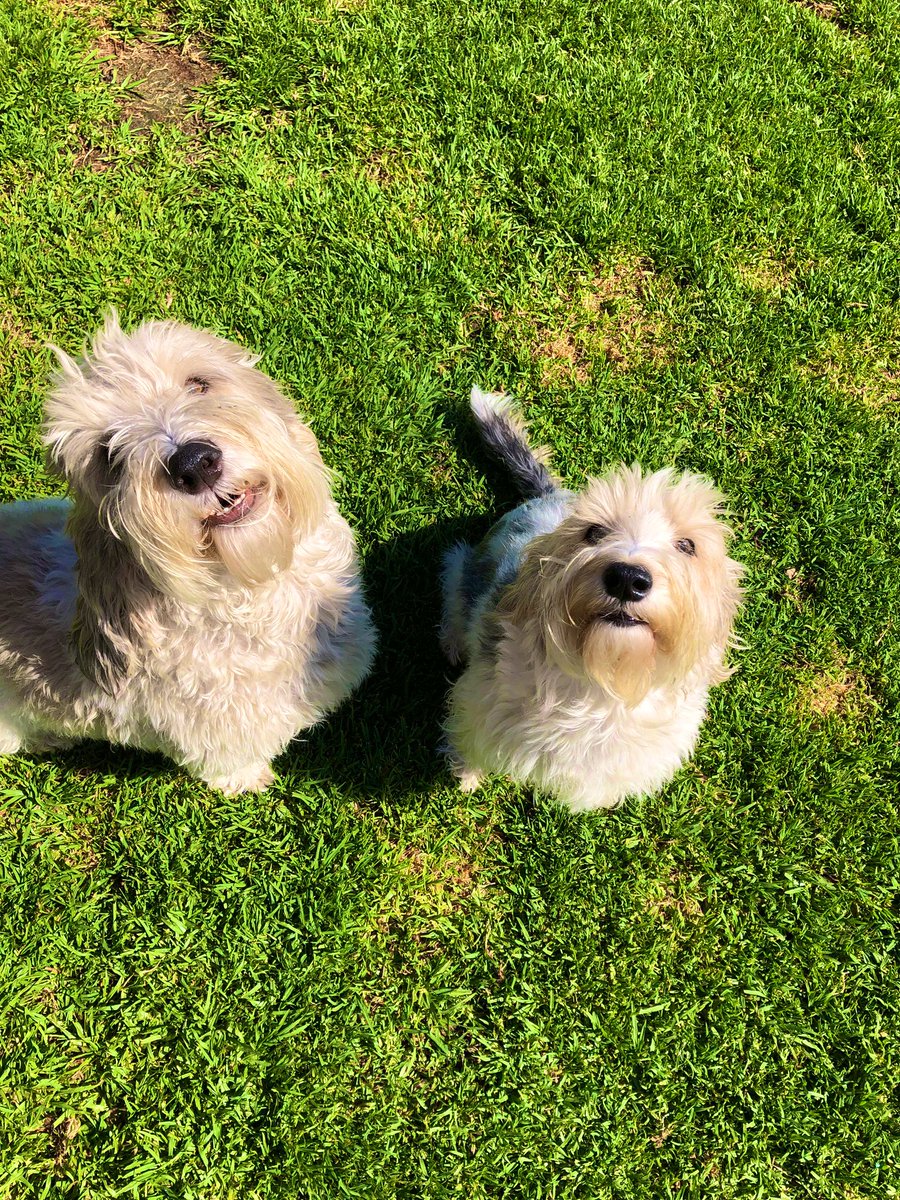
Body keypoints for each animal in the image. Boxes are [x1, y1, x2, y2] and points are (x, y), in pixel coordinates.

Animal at [0, 314, 376, 792]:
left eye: (198, 384)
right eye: (108, 453)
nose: (194, 464)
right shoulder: (218, 742)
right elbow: (233, 767)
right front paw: (252, 781)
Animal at [441, 388, 744, 811]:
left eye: (688, 545)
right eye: (594, 532)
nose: (628, 579)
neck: (604, 681)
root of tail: (548, 494)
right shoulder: (480, 706)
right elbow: (471, 747)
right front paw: (466, 775)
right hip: (462, 567)